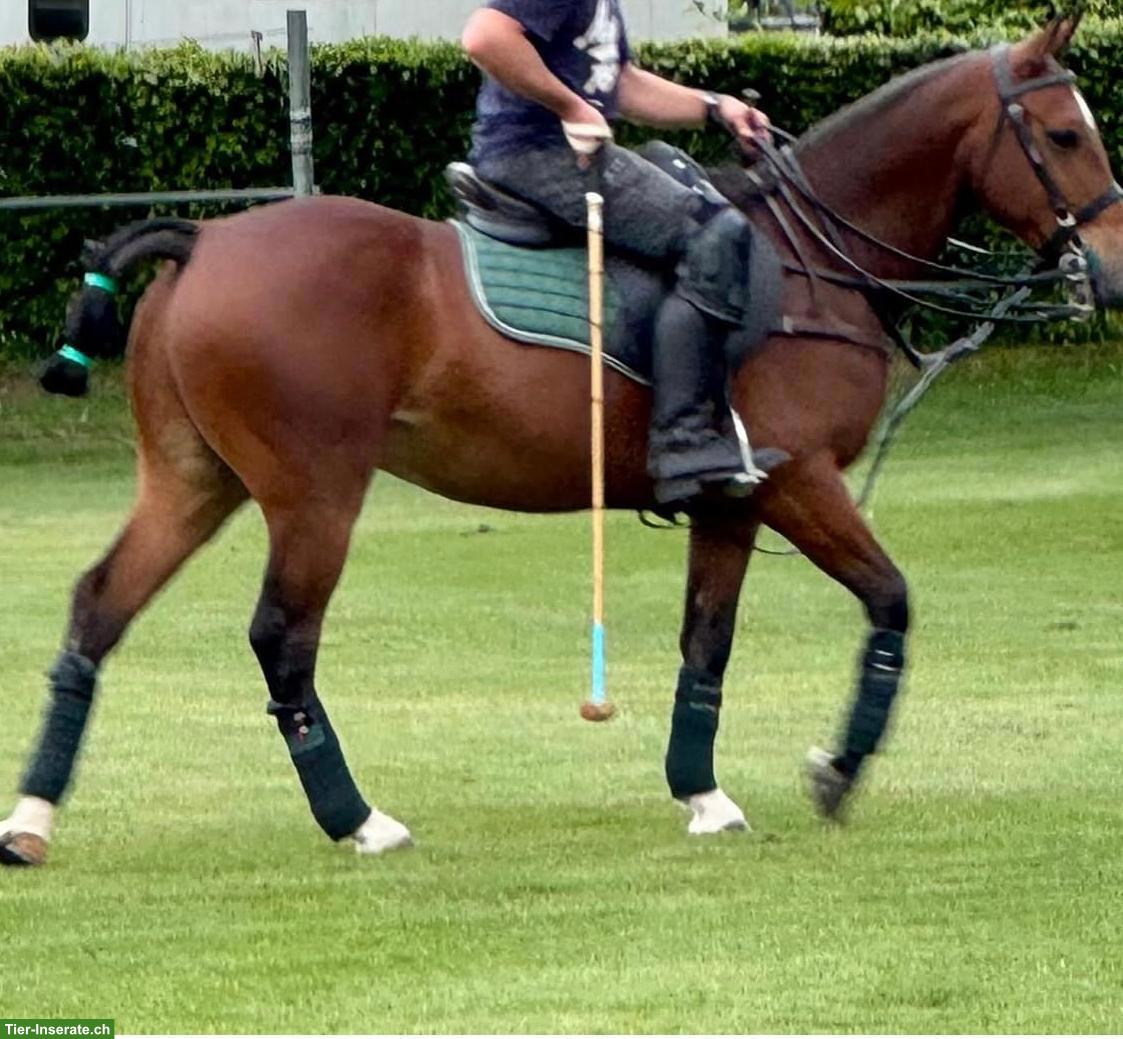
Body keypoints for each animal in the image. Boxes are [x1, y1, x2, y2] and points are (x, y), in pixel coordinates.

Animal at [3, 16, 1121, 866]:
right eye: (1065, 135)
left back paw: (33, 818)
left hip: (194, 478)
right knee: (283, 638)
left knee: (99, 605)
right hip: (312, 490)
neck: (813, 262)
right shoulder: (800, 481)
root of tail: (201, 240)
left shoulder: (732, 497)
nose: (1109, 273)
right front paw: (835, 771)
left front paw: (702, 793)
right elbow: (889, 599)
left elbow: (705, 645)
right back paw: (357, 819)